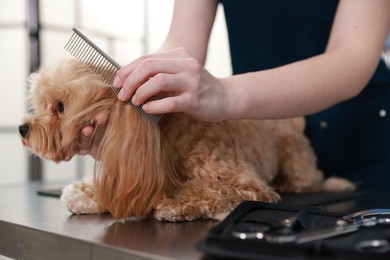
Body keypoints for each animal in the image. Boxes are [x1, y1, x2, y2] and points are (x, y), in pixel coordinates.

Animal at [18, 59, 354, 221]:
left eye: (60, 107)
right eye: (42, 104)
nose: (22, 128)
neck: (165, 135)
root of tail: (292, 123)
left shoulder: (242, 182)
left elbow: (207, 189)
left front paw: (177, 205)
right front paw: (84, 195)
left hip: (296, 162)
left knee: (310, 180)